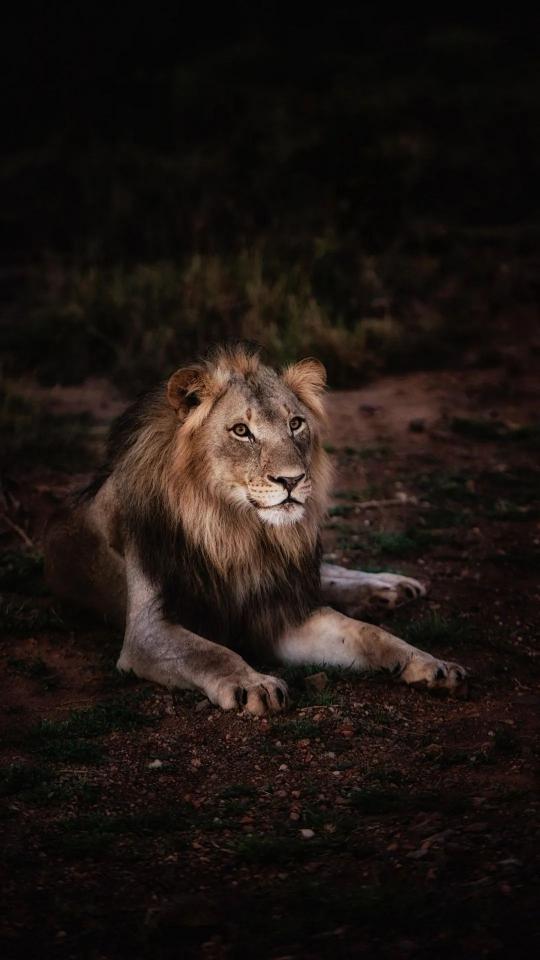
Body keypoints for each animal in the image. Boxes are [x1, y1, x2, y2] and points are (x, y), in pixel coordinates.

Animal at [45, 345, 467, 714]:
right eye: (241, 431)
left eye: (295, 424)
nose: (291, 480)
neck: (239, 533)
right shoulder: (148, 632)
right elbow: (212, 653)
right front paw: (255, 684)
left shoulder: (281, 612)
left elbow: (368, 633)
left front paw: (429, 663)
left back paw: (389, 587)